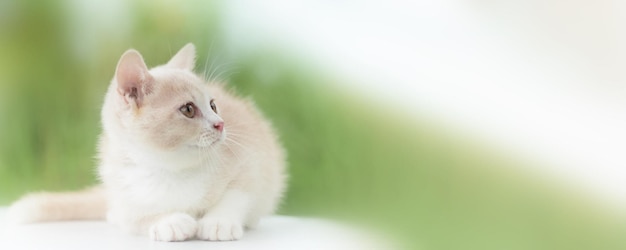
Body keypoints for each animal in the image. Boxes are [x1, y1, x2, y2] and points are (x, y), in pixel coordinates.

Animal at [6, 43, 286, 242]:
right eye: (188, 109)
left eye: (213, 105)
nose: (221, 123)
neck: (169, 168)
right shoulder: (123, 190)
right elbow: (136, 216)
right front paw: (169, 222)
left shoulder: (252, 159)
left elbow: (239, 193)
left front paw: (218, 221)